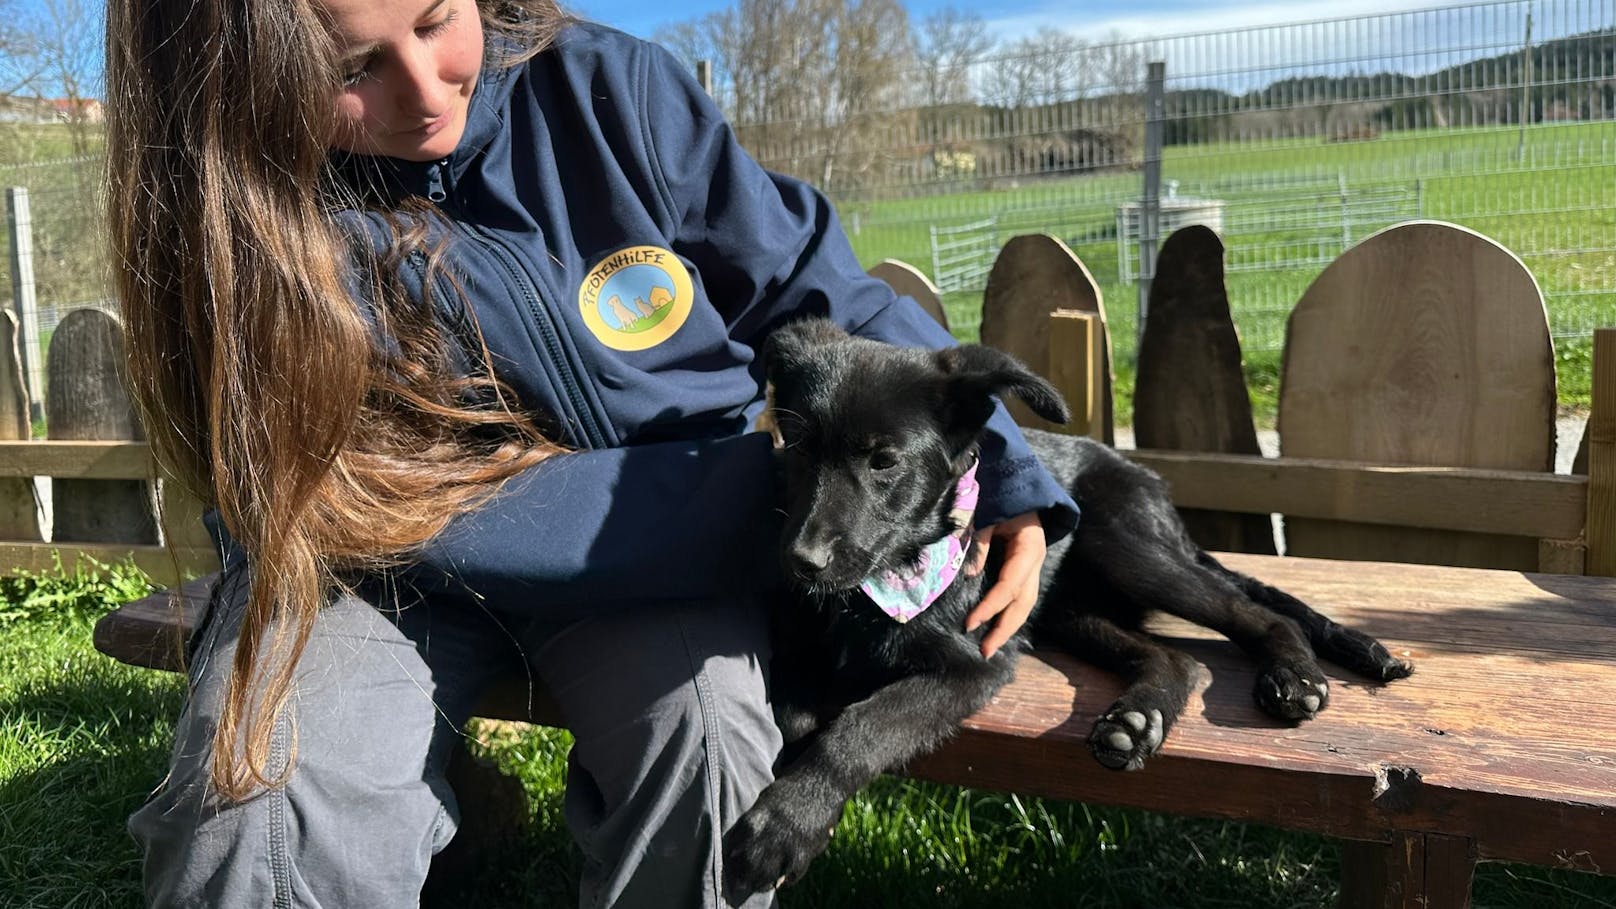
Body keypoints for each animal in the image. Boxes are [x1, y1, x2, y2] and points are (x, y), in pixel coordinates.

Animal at [723, 318, 1415, 899]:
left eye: (884, 460)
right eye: (798, 447)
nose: (801, 563)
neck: (881, 584)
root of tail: (1152, 484)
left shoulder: (974, 665)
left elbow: (865, 726)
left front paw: (788, 821)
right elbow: (793, 709)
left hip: (1120, 545)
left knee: (1261, 613)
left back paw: (1293, 677)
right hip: (1066, 608)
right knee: (1176, 658)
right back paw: (1137, 720)